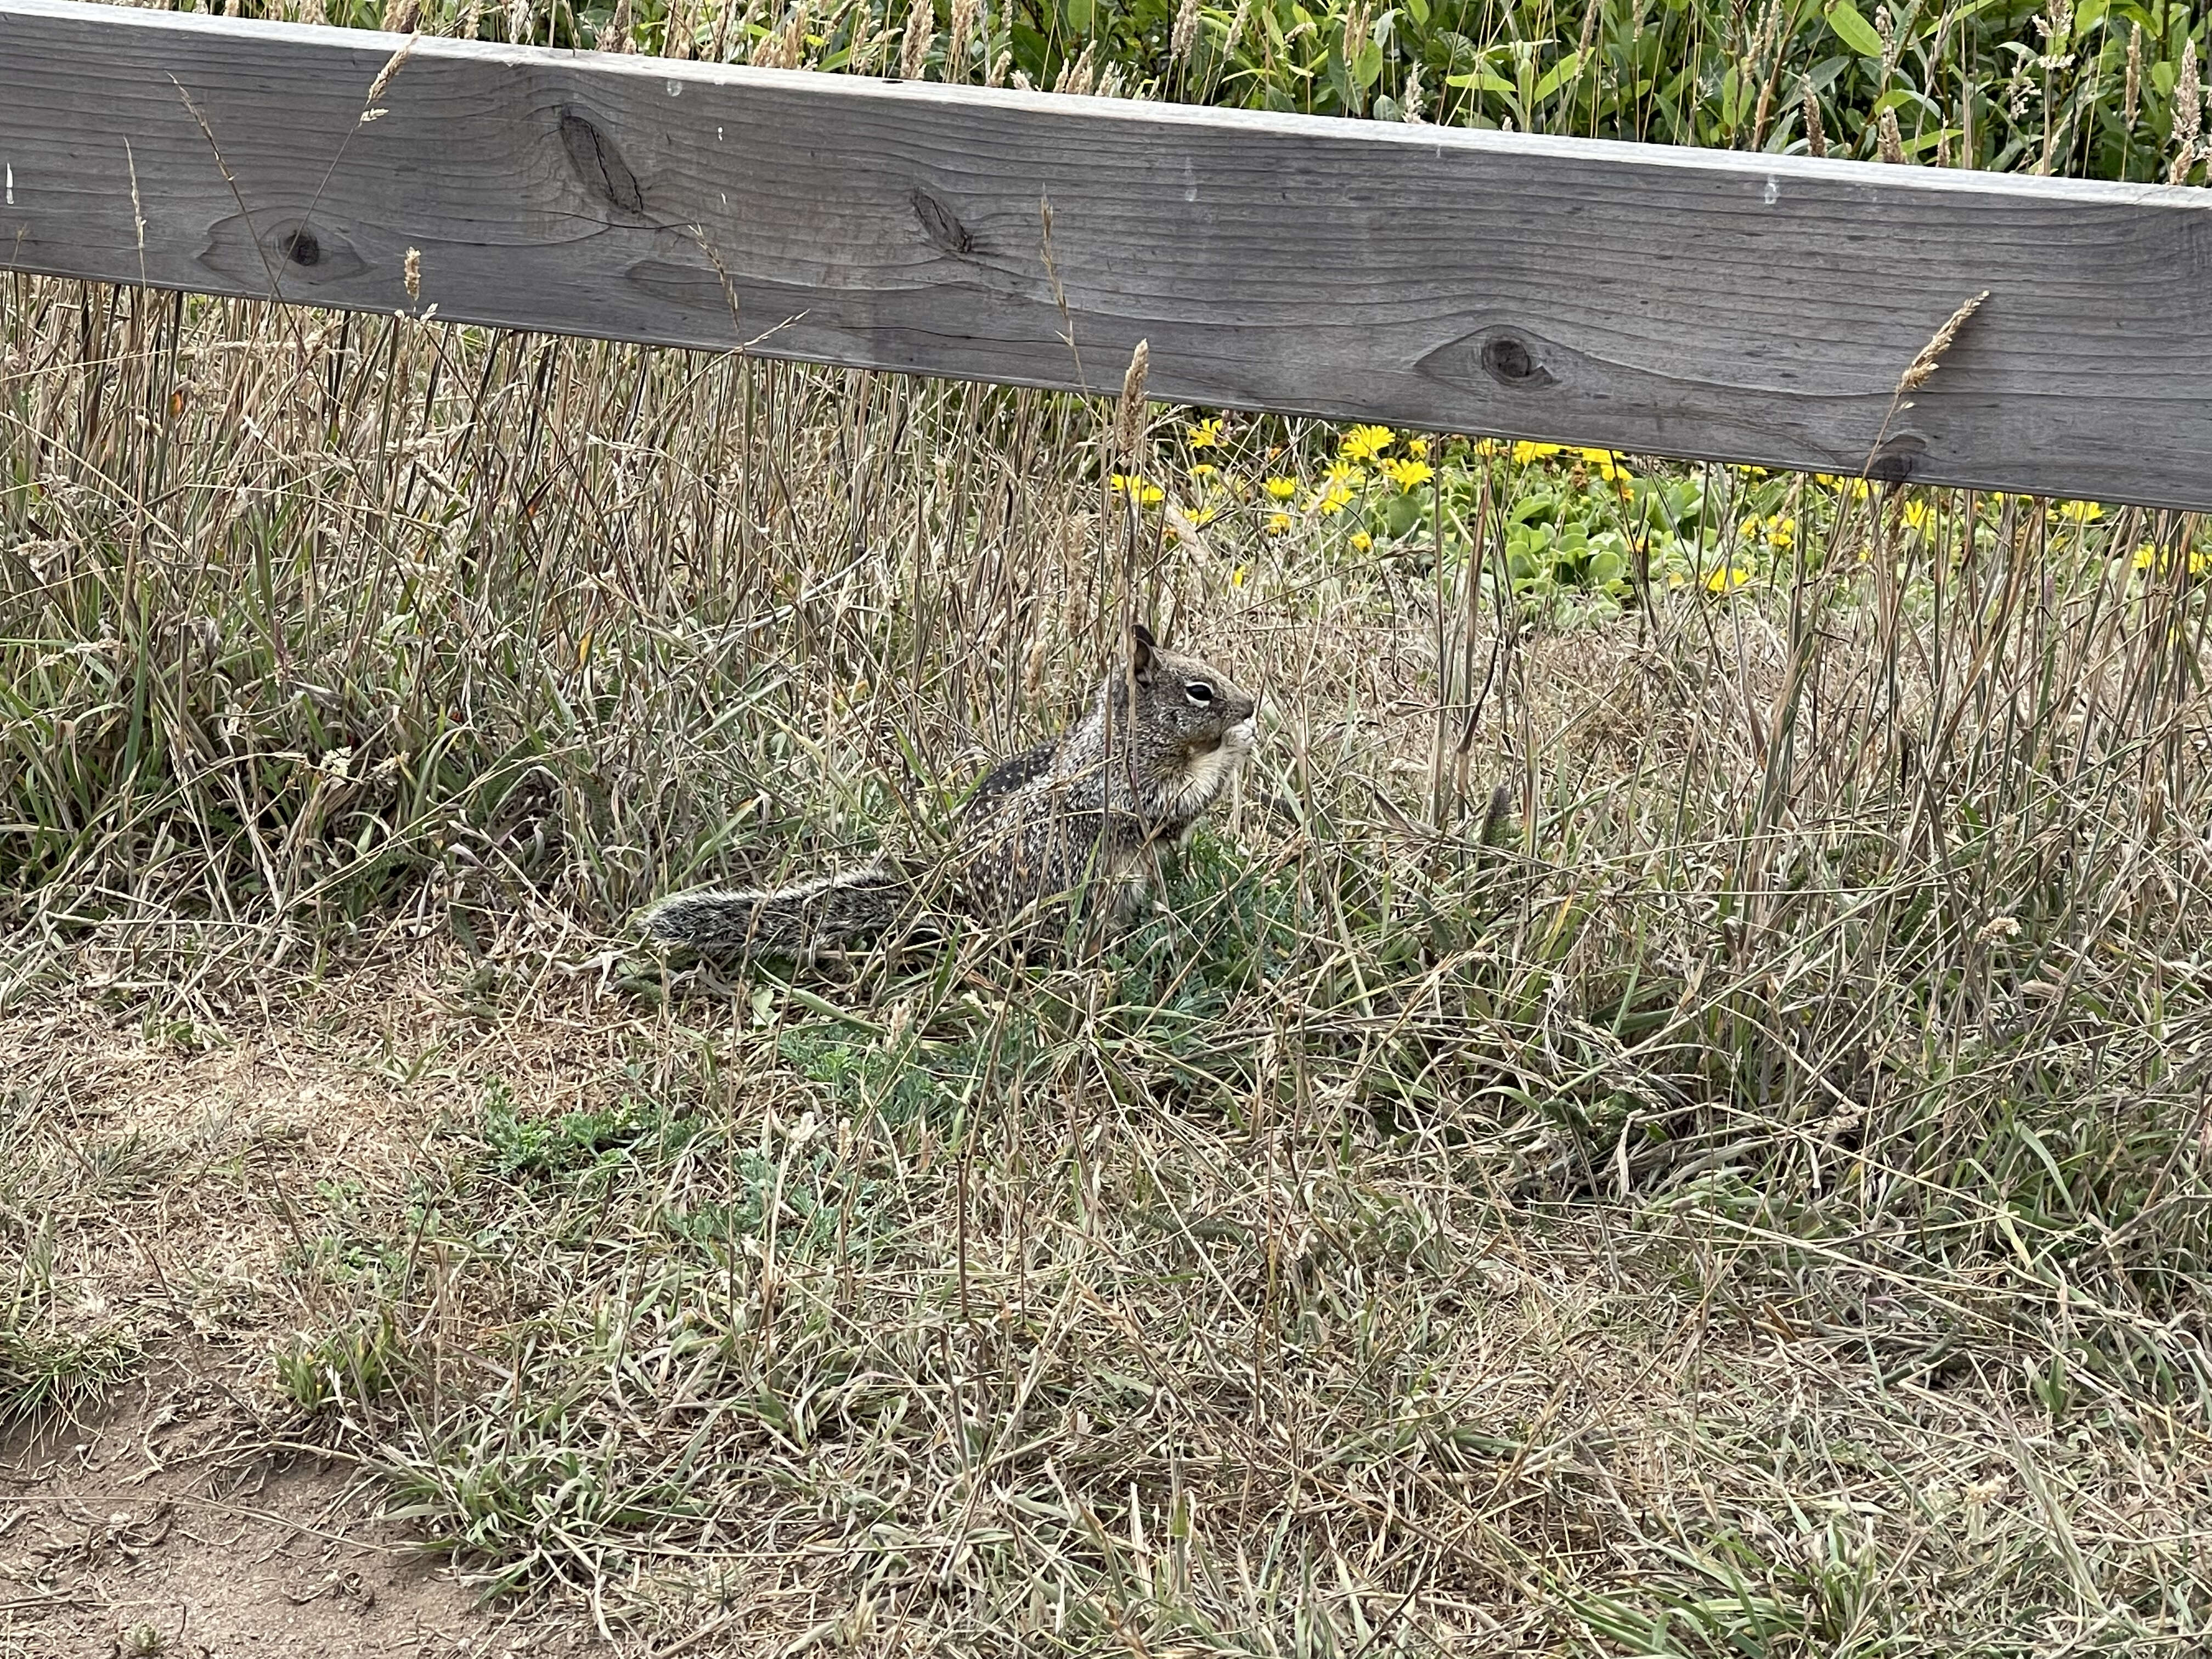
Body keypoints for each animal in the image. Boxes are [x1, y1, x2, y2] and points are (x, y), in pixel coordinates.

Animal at [646, 628, 1265, 960]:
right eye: (1200, 691)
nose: (1251, 704)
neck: (1129, 735)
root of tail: (956, 899)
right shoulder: (1126, 787)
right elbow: (1177, 807)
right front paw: (1237, 742)